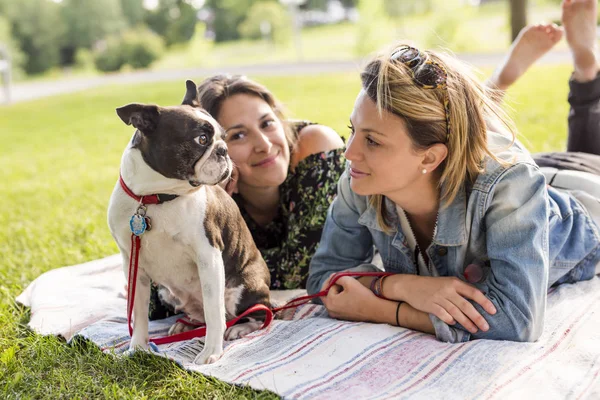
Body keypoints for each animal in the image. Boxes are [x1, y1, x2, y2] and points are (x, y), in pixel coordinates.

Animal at [108, 79, 272, 364]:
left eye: (224, 137)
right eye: (201, 139)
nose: (224, 150)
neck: (156, 198)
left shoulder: (208, 257)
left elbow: (215, 312)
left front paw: (211, 352)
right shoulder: (134, 265)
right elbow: (138, 314)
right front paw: (137, 348)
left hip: (243, 287)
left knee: (258, 312)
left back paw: (239, 327)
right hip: (165, 291)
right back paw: (185, 324)